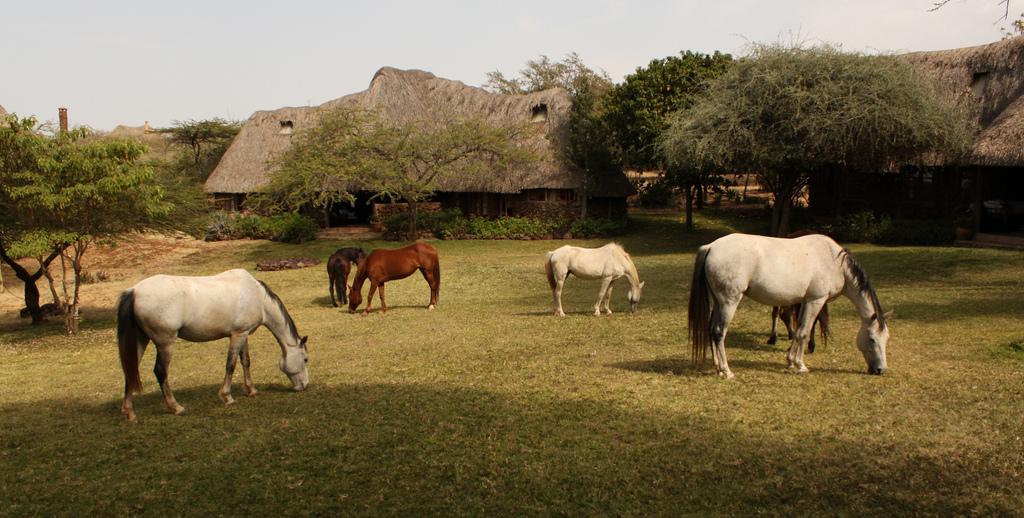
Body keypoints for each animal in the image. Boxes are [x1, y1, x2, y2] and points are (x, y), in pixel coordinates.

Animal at [117, 268, 309, 422]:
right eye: (306, 359)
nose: (305, 386)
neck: (257, 296)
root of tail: (134, 291)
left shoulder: (243, 334)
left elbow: (245, 361)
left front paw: (251, 390)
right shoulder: (237, 335)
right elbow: (231, 365)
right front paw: (227, 397)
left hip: (141, 340)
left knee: (130, 370)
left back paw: (129, 412)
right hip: (166, 343)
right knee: (160, 371)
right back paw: (175, 407)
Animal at [688, 233, 889, 378]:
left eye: (886, 339)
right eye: (872, 339)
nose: (880, 370)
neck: (834, 262)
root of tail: (711, 247)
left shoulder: (804, 302)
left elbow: (798, 330)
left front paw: (791, 361)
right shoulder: (815, 300)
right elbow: (803, 332)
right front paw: (800, 365)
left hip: (719, 303)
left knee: (710, 330)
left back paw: (717, 367)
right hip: (729, 303)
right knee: (718, 333)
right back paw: (726, 371)